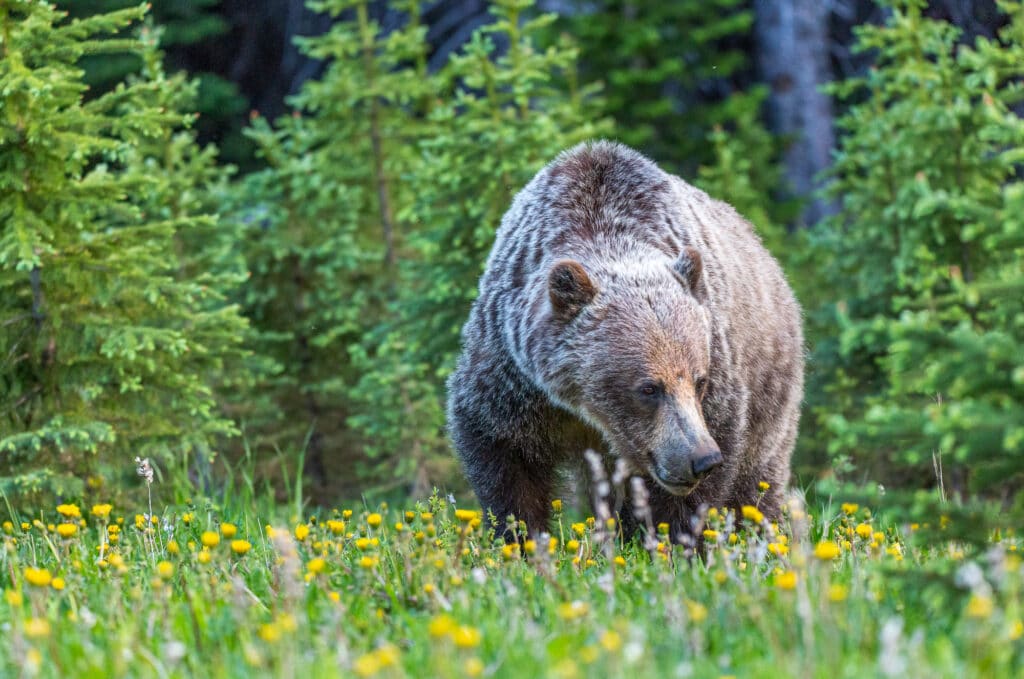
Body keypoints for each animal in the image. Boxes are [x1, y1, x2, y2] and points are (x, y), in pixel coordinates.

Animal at [448, 139, 806, 540]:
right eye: (648, 388)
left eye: (699, 381)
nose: (702, 459)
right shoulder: (513, 373)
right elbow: (504, 452)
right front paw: (521, 536)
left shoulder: (718, 374)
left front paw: (669, 537)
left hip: (771, 379)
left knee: (759, 474)